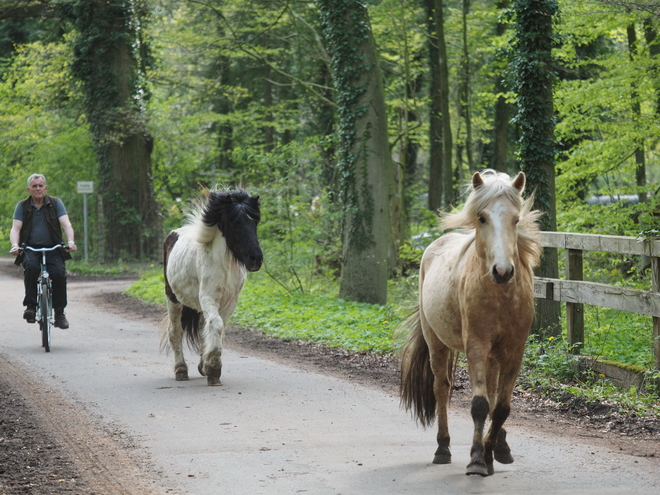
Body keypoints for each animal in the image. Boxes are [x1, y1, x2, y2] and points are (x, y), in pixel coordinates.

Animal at [161, 188, 262, 386]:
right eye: (235, 222)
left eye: (255, 221)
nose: (256, 259)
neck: (224, 266)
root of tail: (174, 234)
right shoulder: (208, 297)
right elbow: (216, 324)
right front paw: (214, 370)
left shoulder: (230, 302)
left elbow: (217, 328)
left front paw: (208, 366)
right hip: (173, 299)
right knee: (175, 332)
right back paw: (181, 371)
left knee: (202, 328)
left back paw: (200, 365)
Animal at [398, 170, 540, 476]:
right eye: (482, 217)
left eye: (516, 219)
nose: (502, 271)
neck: (501, 296)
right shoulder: (476, 346)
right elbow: (479, 405)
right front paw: (476, 459)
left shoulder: (514, 351)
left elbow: (501, 407)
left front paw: (489, 452)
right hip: (436, 343)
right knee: (442, 388)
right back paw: (443, 448)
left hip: (494, 356)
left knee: (493, 394)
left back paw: (499, 448)